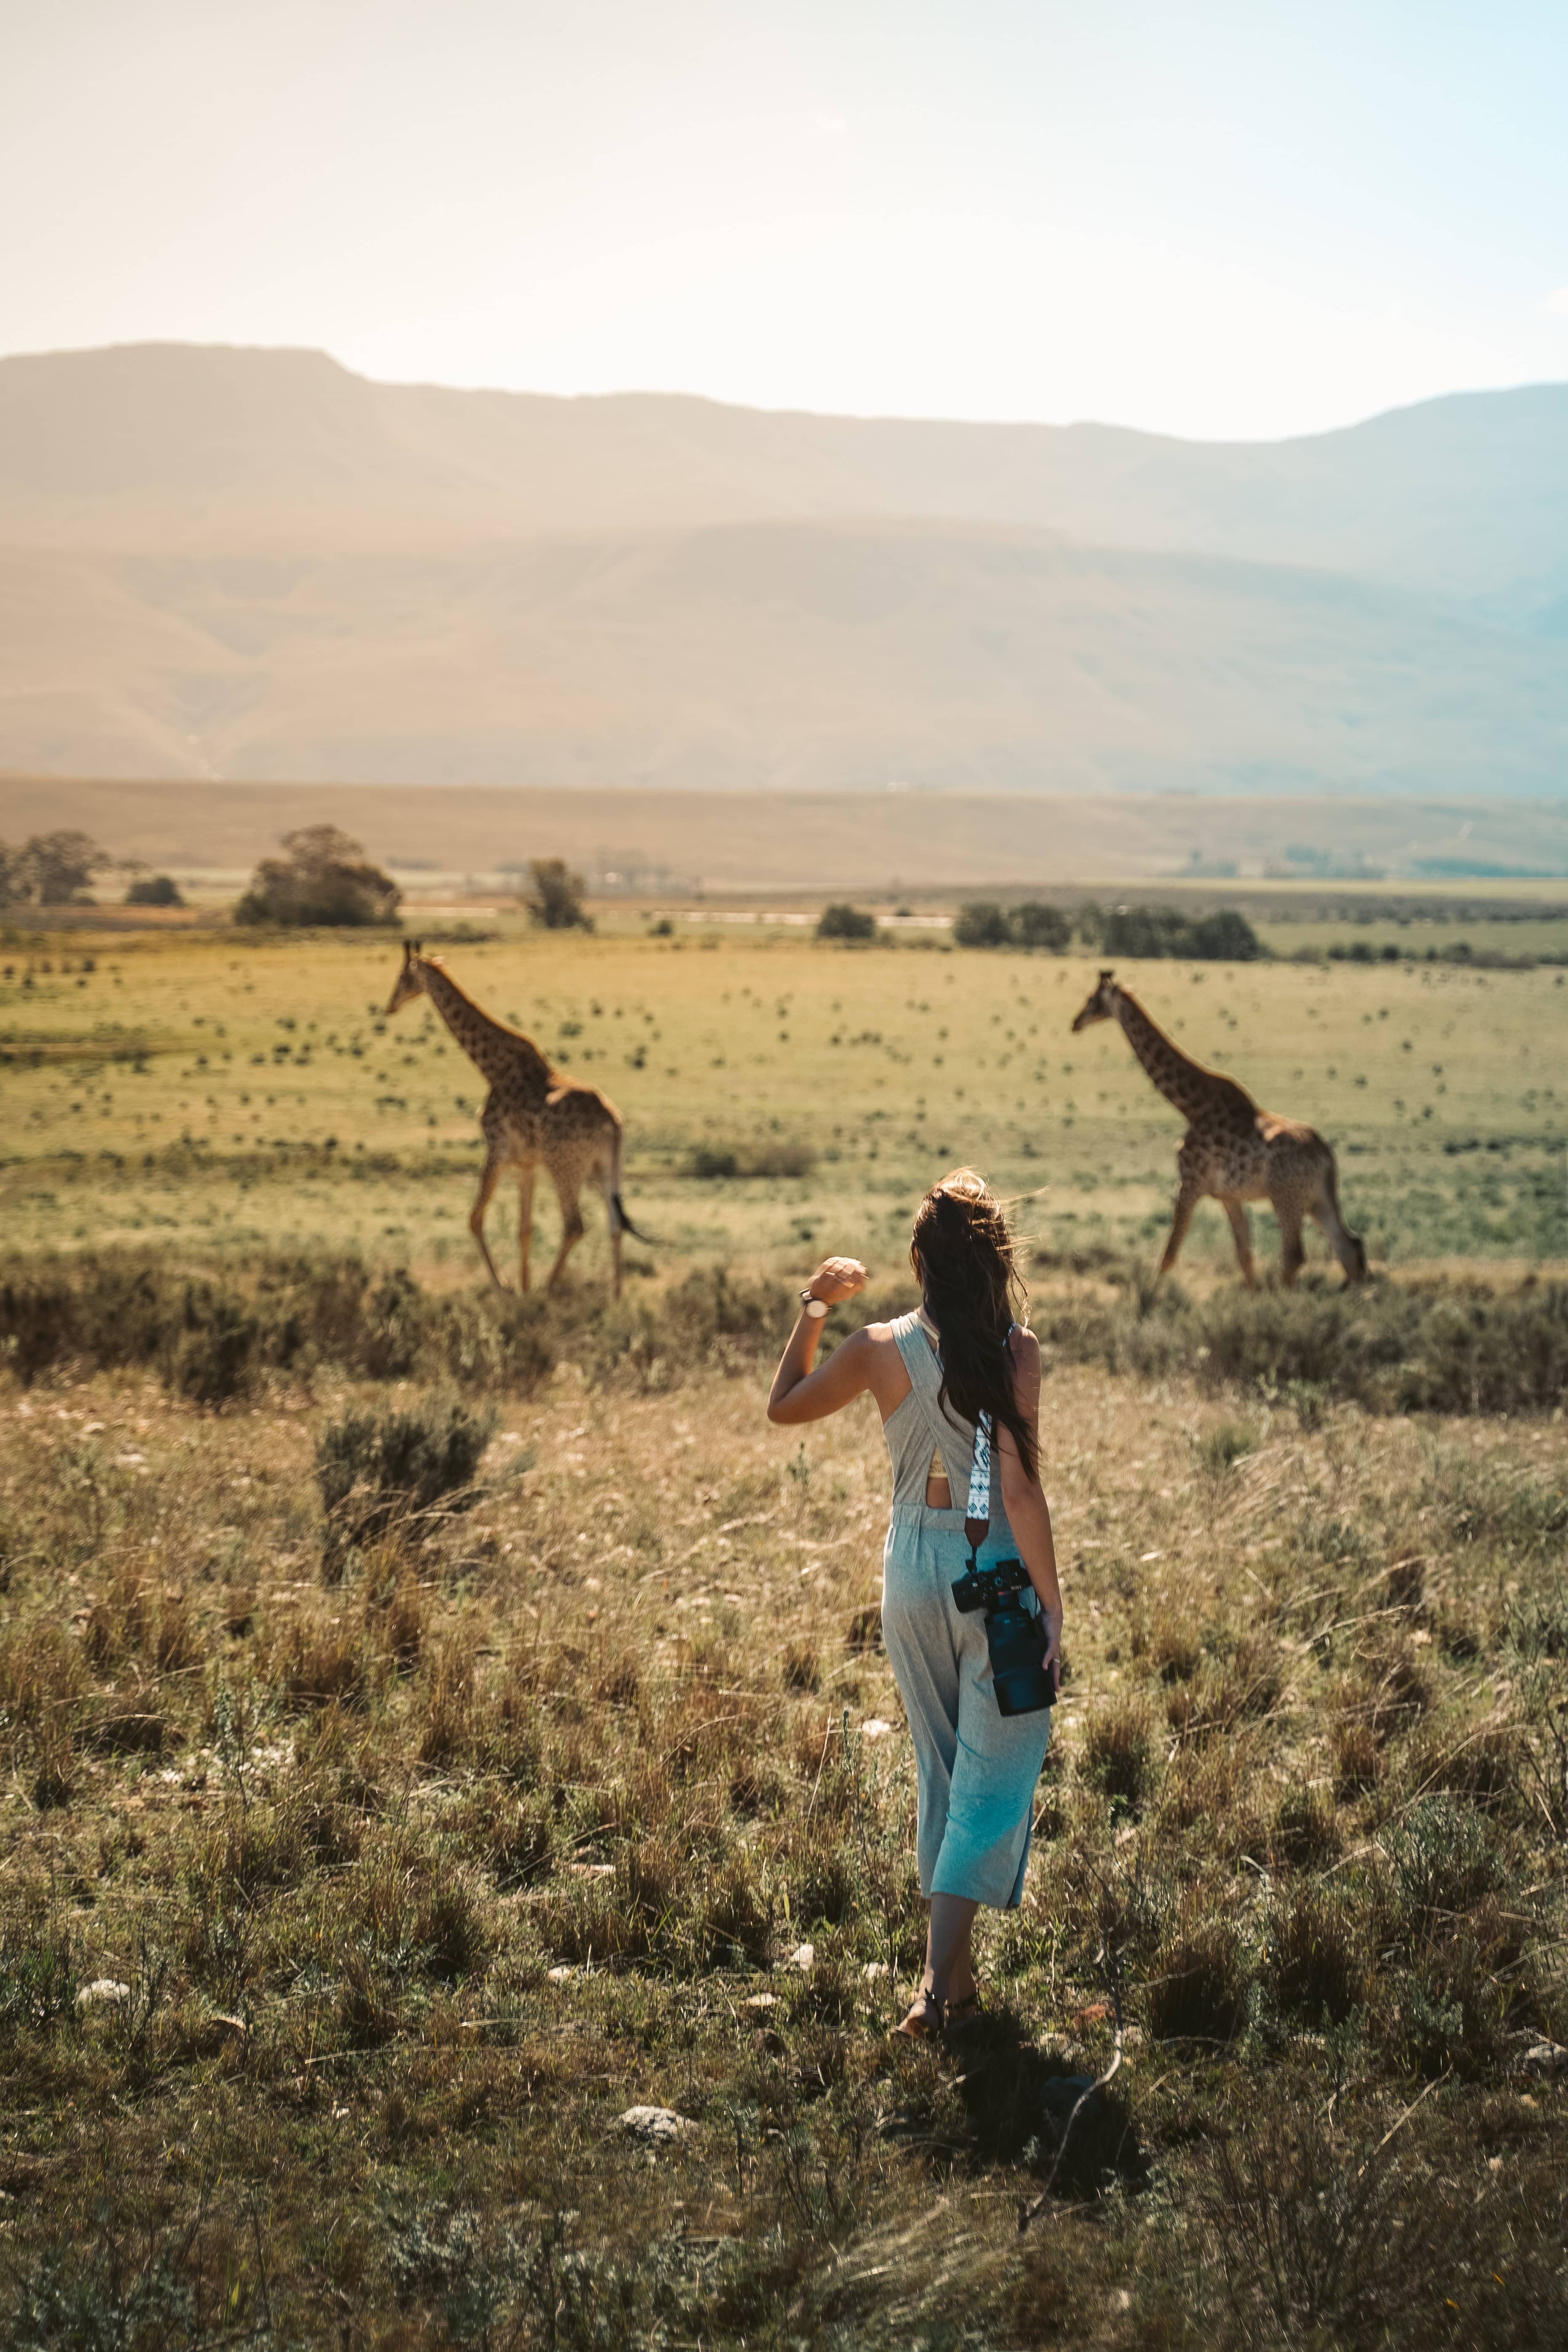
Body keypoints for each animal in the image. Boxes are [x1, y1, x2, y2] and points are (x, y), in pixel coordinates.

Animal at [383, 941, 649, 1308]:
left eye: (402, 977)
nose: (389, 1006)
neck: (491, 1066)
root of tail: (614, 1122)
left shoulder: (498, 1148)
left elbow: (475, 1218)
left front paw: (506, 1286)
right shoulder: (527, 1163)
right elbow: (525, 1230)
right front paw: (522, 1287)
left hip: (565, 1166)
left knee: (575, 1224)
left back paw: (550, 1289)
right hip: (607, 1167)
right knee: (614, 1222)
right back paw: (616, 1296)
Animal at [1072, 964, 1363, 1289]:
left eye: (1093, 999)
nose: (1075, 1023)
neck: (1191, 1106)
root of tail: (1326, 1155)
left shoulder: (1191, 1182)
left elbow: (1170, 1254)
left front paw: (1151, 1295)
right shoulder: (1229, 1195)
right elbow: (1245, 1258)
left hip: (1286, 1195)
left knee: (1296, 1255)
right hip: (1317, 1196)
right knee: (1349, 1245)